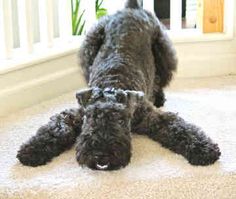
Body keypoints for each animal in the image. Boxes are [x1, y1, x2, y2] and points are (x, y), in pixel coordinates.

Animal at [17, 0, 220, 170]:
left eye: (121, 119)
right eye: (91, 117)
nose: (101, 157)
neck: (112, 83)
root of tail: (131, 8)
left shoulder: (152, 116)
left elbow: (179, 128)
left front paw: (204, 149)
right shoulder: (73, 114)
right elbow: (55, 128)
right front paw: (31, 150)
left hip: (164, 54)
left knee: (160, 80)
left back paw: (159, 97)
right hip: (89, 46)